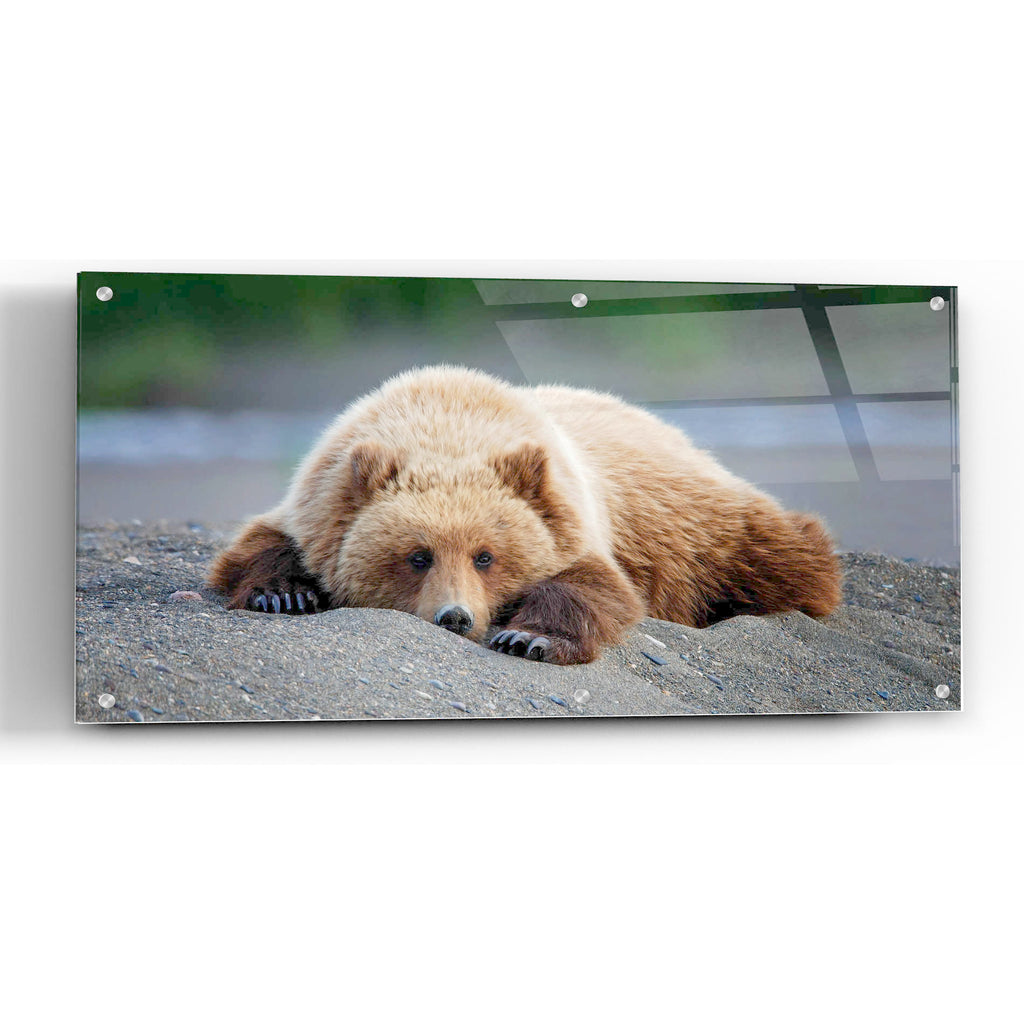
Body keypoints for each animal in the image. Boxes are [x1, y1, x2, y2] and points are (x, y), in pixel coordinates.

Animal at [208, 365, 842, 665]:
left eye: (486, 556)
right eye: (417, 556)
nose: (455, 616)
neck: (446, 420)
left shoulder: (572, 517)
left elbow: (594, 586)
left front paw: (527, 636)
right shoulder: (319, 497)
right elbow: (260, 544)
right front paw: (284, 593)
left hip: (699, 523)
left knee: (776, 554)